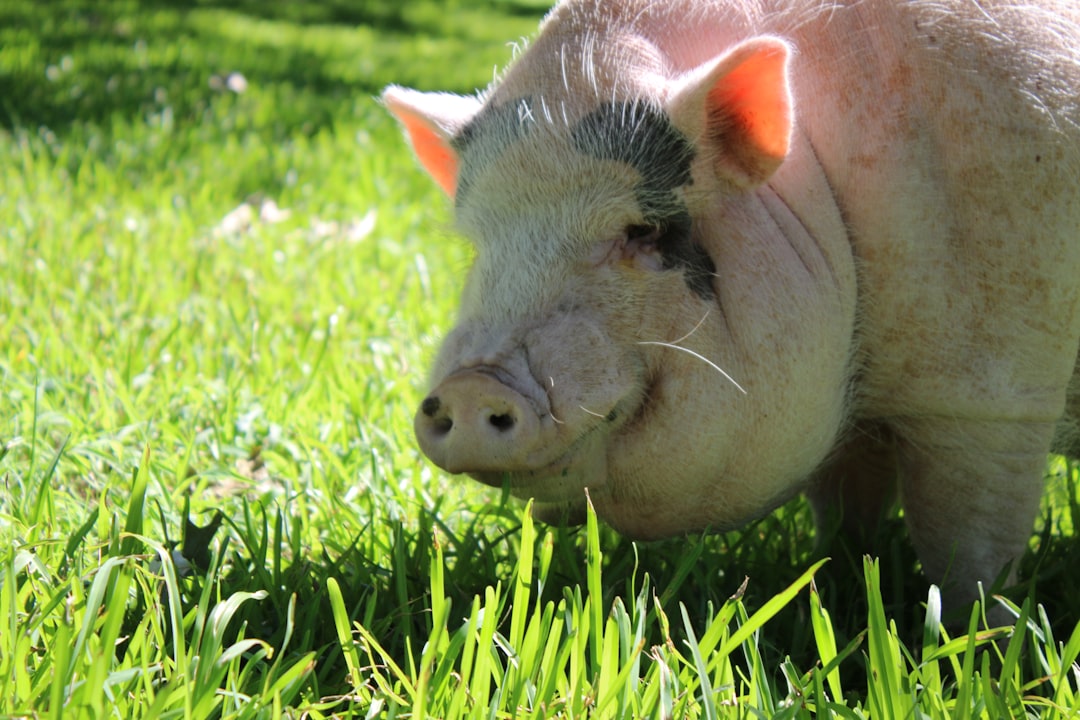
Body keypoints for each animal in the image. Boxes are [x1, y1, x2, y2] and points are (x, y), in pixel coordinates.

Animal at [383, 0, 1080, 615]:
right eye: (479, 245)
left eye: (642, 231)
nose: (473, 385)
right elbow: (846, 504)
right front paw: (835, 578)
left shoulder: (992, 396)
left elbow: (969, 552)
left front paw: (978, 635)